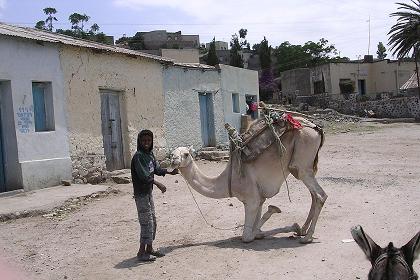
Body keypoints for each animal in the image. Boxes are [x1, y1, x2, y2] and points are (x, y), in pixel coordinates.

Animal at [170, 116, 328, 243]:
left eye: (186, 154)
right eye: (172, 153)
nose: (173, 161)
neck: (228, 180)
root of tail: (317, 129)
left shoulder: (251, 199)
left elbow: (247, 237)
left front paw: (285, 220)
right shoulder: (259, 198)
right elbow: (257, 230)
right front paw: (288, 224)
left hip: (302, 162)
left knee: (320, 195)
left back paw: (307, 237)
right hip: (306, 166)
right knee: (314, 195)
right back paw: (304, 230)